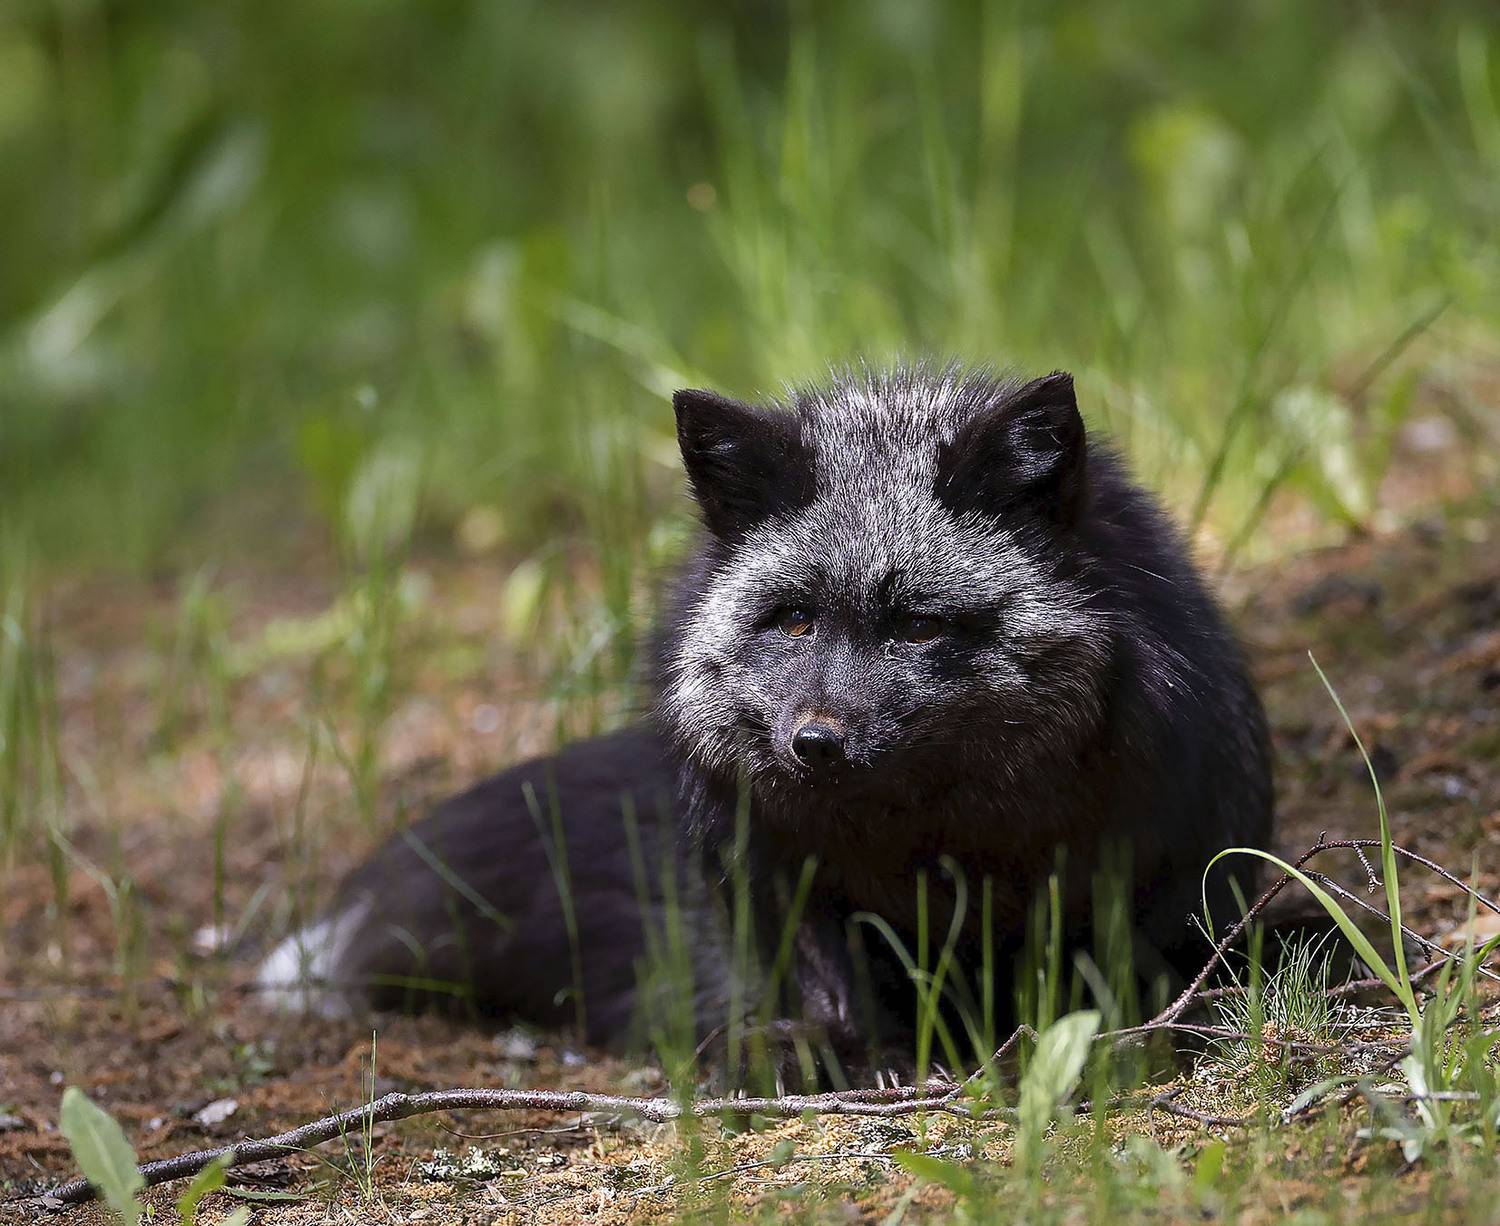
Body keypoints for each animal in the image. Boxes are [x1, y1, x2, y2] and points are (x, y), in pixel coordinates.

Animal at [257, 365, 1273, 1062]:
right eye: (792, 619)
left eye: (917, 624)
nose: (814, 742)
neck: (928, 845)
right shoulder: (772, 863)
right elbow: (828, 997)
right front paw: (836, 1058)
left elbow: (1093, 975)